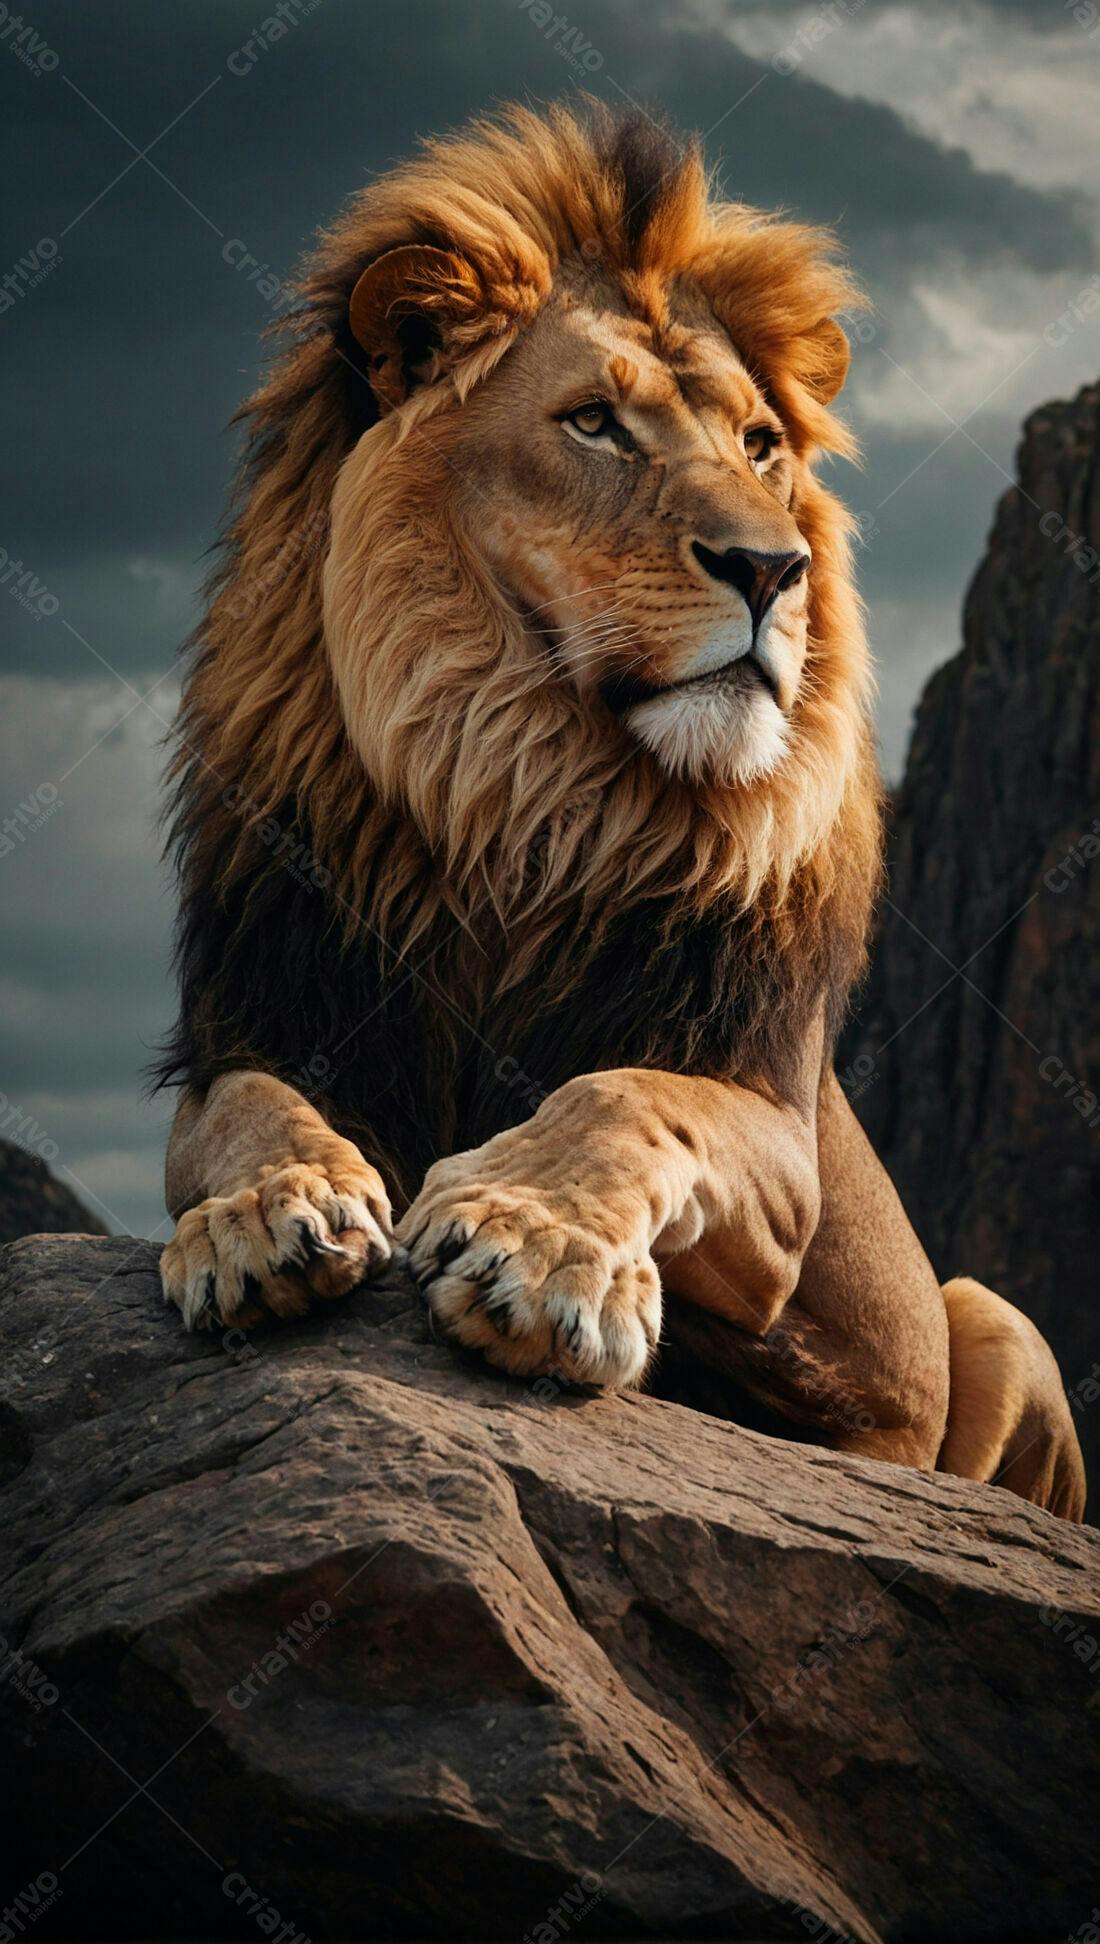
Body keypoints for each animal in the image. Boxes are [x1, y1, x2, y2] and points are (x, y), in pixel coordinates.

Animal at [156, 103, 1085, 1521]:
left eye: (759, 446)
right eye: (594, 424)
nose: (772, 568)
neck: (523, 796)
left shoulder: (772, 1128)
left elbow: (625, 1094)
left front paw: (537, 1255)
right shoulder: (261, 1012)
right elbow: (241, 1108)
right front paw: (270, 1214)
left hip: (992, 1316)